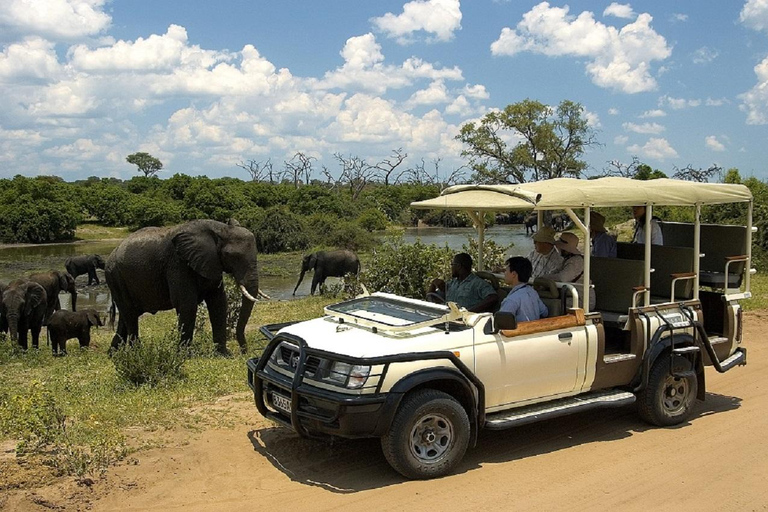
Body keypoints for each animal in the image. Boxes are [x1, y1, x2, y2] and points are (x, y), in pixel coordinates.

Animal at [105, 219, 262, 356]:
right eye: (232, 256)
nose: (244, 352)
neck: (220, 228)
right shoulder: (178, 262)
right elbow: (187, 304)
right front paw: (185, 356)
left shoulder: (211, 263)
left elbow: (218, 303)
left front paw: (224, 354)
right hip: (115, 277)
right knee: (130, 315)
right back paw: (136, 354)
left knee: (125, 317)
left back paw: (113, 354)